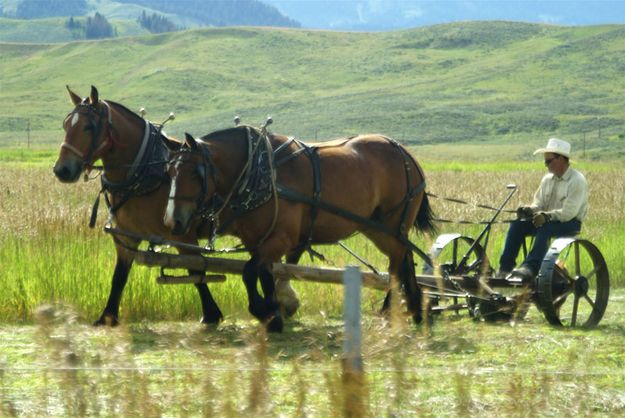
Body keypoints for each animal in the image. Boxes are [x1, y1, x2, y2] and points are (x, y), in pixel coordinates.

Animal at [51, 85, 300, 326]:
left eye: (88, 127)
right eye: (66, 124)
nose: (62, 170)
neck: (146, 174)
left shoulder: (183, 234)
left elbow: (195, 270)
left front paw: (211, 313)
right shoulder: (125, 237)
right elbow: (119, 277)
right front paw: (107, 316)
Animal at [163, 125, 432, 332]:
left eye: (195, 173)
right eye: (170, 171)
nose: (172, 221)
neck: (261, 173)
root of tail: (406, 154)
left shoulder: (281, 238)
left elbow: (249, 273)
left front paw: (263, 310)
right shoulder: (257, 241)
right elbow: (263, 275)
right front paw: (274, 316)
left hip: (390, 225)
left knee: (397, 263)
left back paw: (391, 309)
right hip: (378, 227)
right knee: (404, 258)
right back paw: (415, 308)